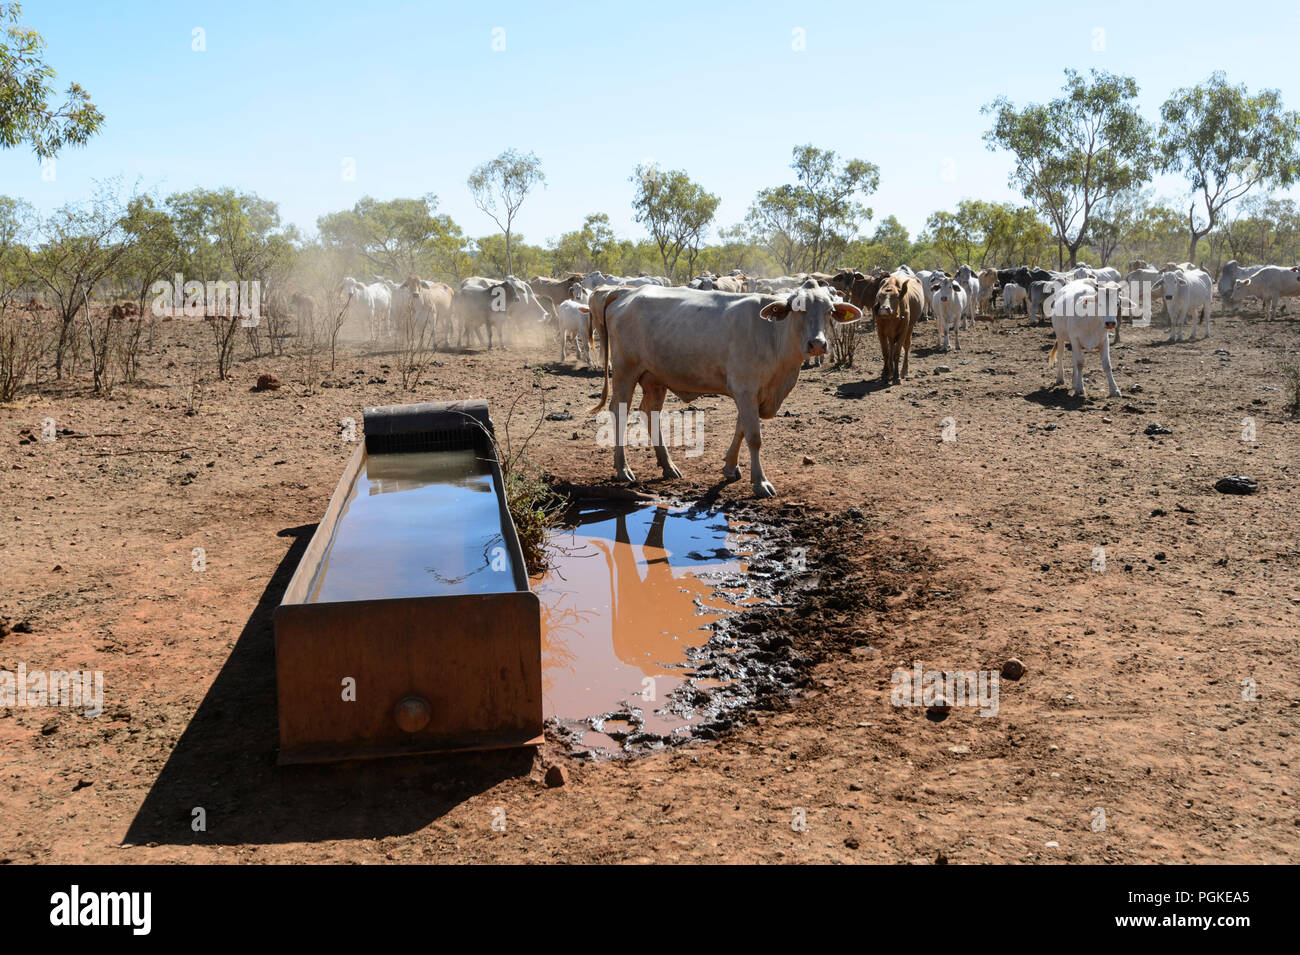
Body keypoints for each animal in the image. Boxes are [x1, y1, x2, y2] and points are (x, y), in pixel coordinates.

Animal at [588, 281, 861, 497]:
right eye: (797, 308)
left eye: (830, 310)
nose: (818, 344)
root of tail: (626, 291)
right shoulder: (745, 388)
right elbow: (754, 436)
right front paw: (760, 482)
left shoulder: (751, 393)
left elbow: (741, 428)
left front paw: (730, 467)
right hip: (625, 371)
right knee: (620, 412)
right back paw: (623, 468)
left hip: (655, 378)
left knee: (650, 413)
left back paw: (668, 466)